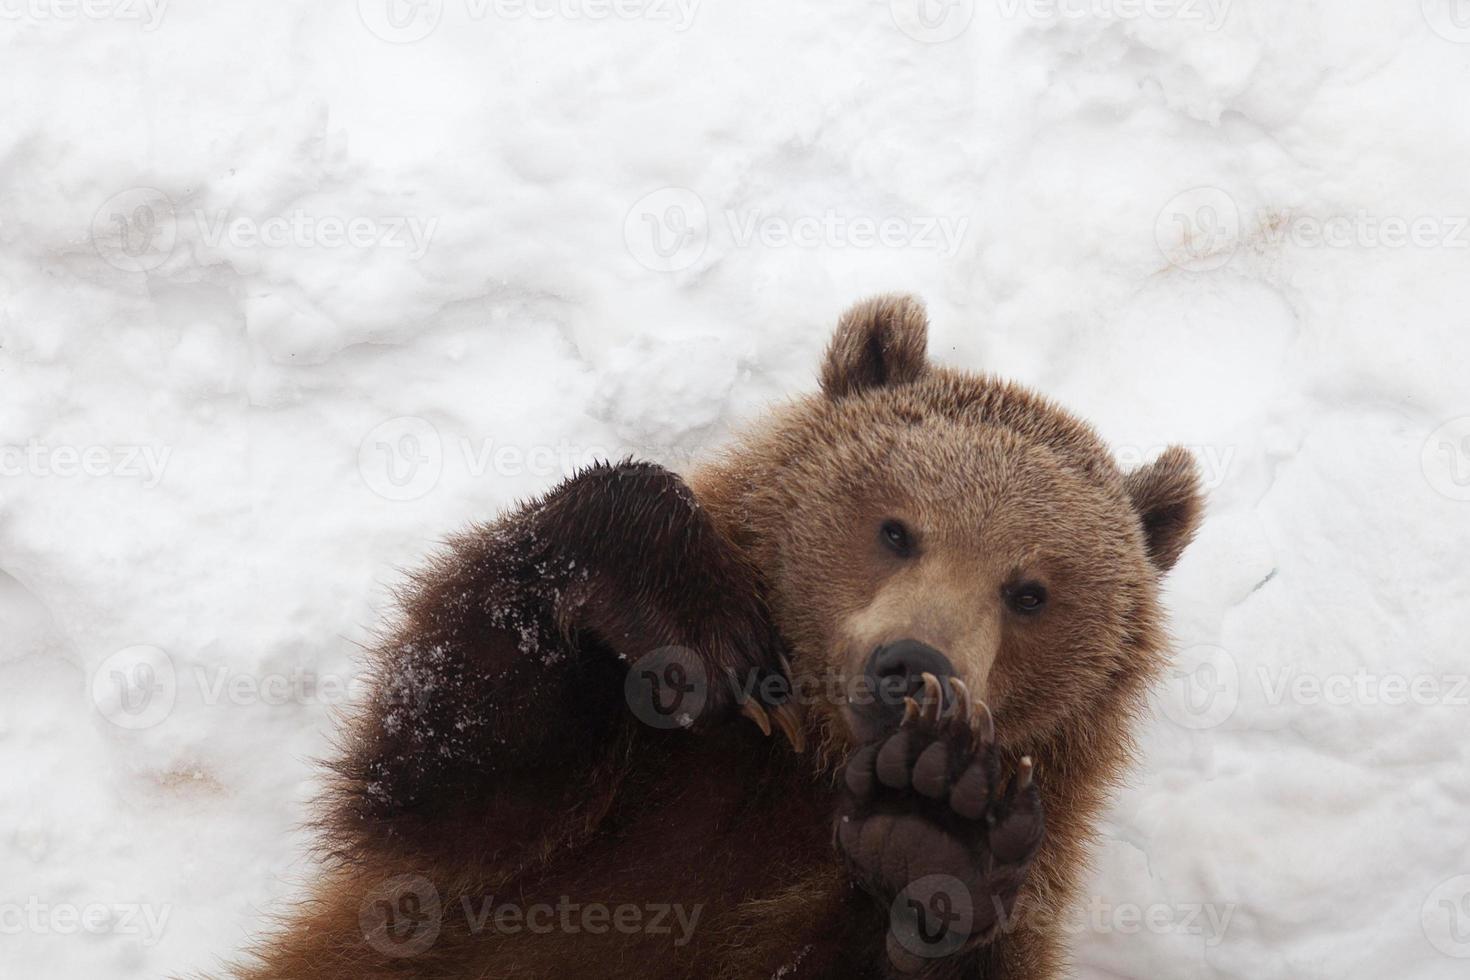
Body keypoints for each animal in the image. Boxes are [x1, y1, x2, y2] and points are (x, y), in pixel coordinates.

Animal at [223, 296, 1199, 980]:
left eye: (1030, 591)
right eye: (896, 528)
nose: (911, 667)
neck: (808, 764)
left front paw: (935, 814)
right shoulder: (620, 809)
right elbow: (451, 782)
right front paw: (698, 624)